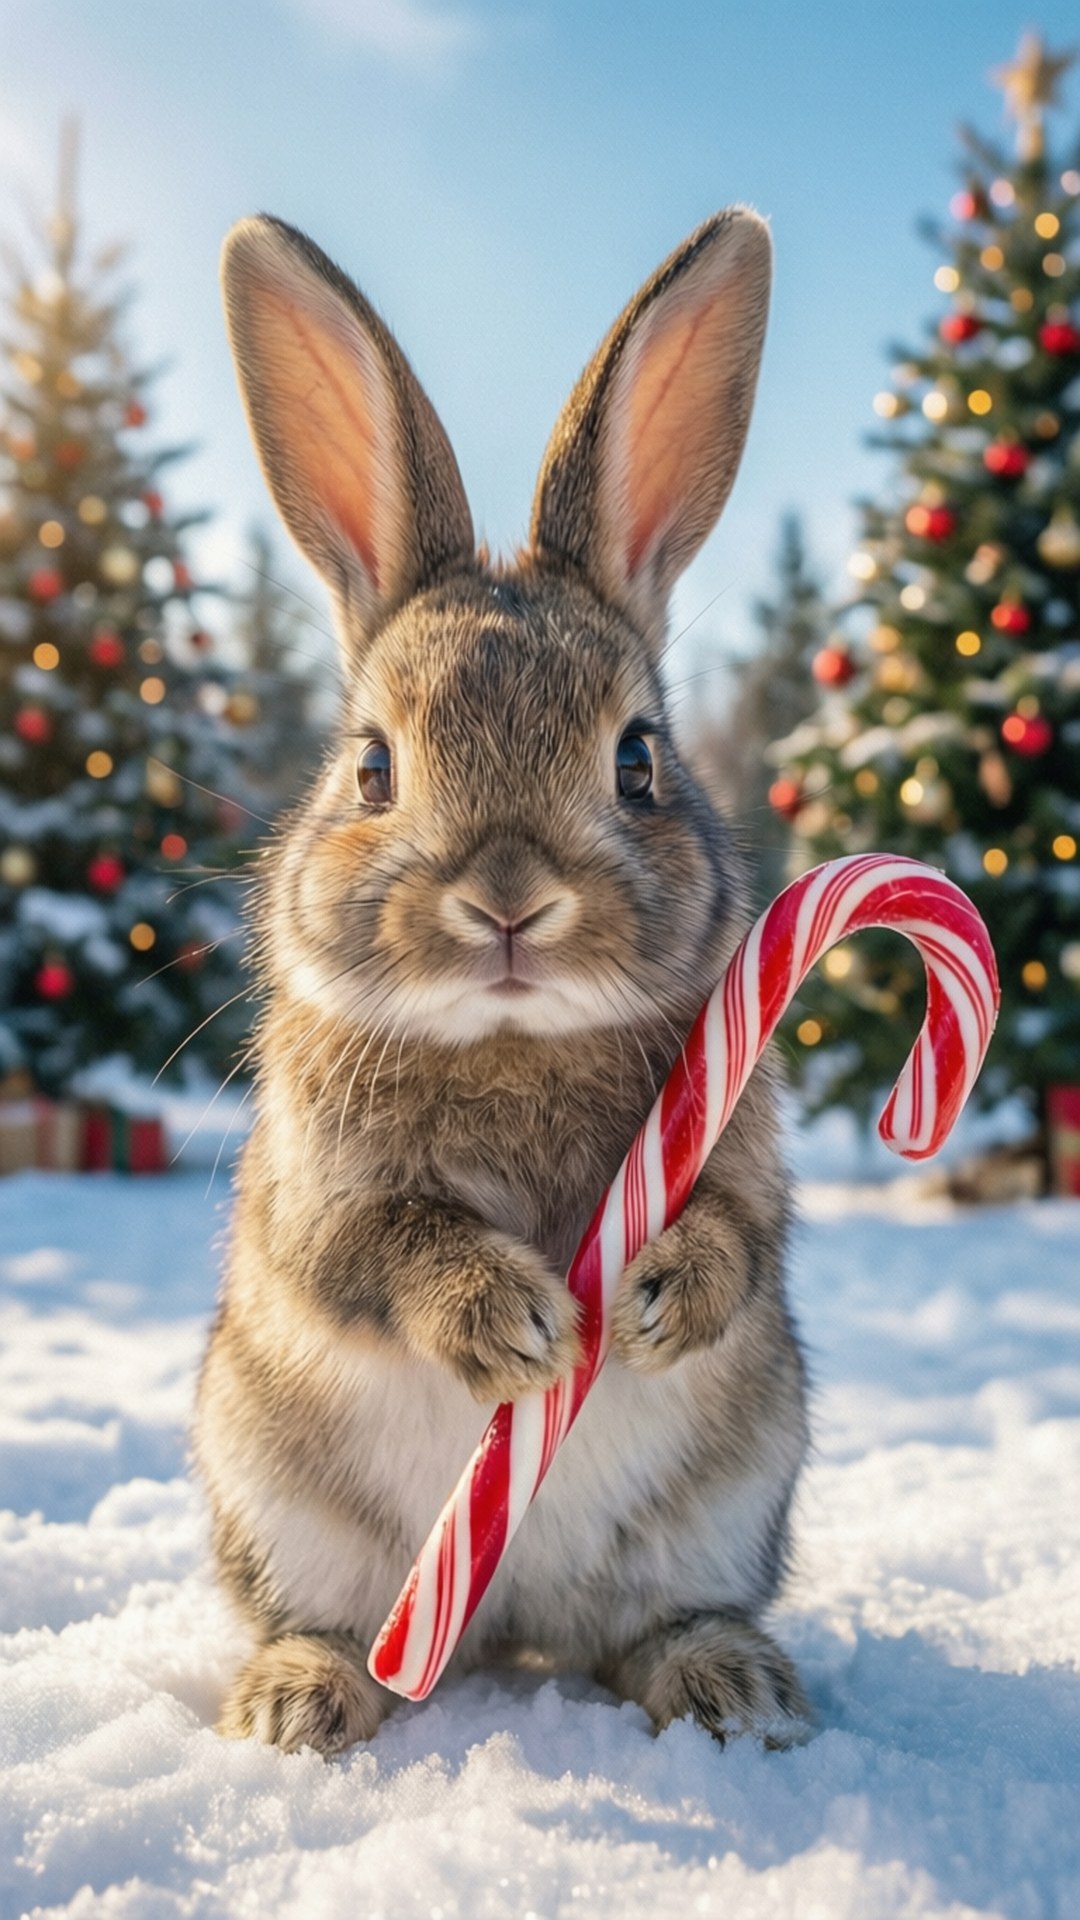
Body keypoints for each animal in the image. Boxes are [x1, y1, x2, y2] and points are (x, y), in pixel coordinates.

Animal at [194, 205, 811, 1757]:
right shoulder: (320, 1197)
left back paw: (730, 1684)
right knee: (330, 1623)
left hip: (730, 1499)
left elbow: (740, 1234)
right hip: (276, 1500)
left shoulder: (744, 1148)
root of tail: (502, 1620)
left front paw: (654, 1297)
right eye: (372, 767)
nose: (510, 901)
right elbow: (375, 1251)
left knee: (656, 1624)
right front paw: (521, 1325)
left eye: (638, 759)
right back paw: (301, 1698)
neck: (508, 1039)